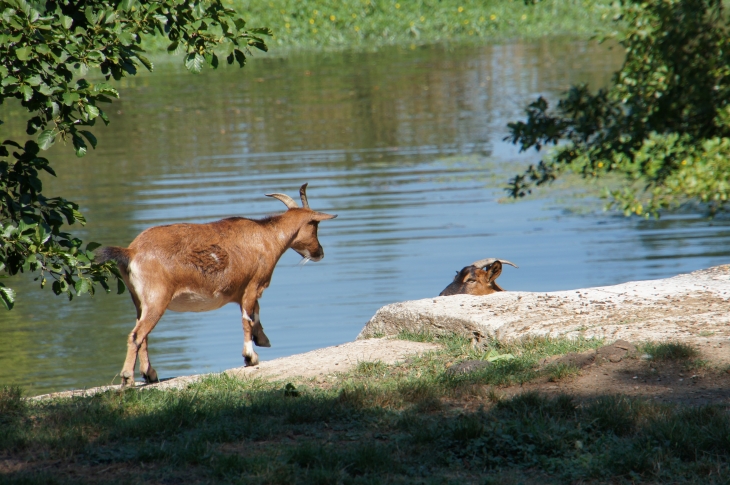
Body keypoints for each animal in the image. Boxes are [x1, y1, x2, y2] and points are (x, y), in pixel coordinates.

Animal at [95, 183, 336, 388]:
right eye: (314, 225)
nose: (320, 252)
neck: (267, 237)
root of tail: (132, 251)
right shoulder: (253, 284)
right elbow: (247, 318)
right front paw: (251, 357)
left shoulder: (242, 291)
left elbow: (255, 313)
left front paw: (262, 340)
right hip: (157, 298)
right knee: (137, 335)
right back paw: (128, 378)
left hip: (140, 301)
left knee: (142, 335)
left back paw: (150, 375)